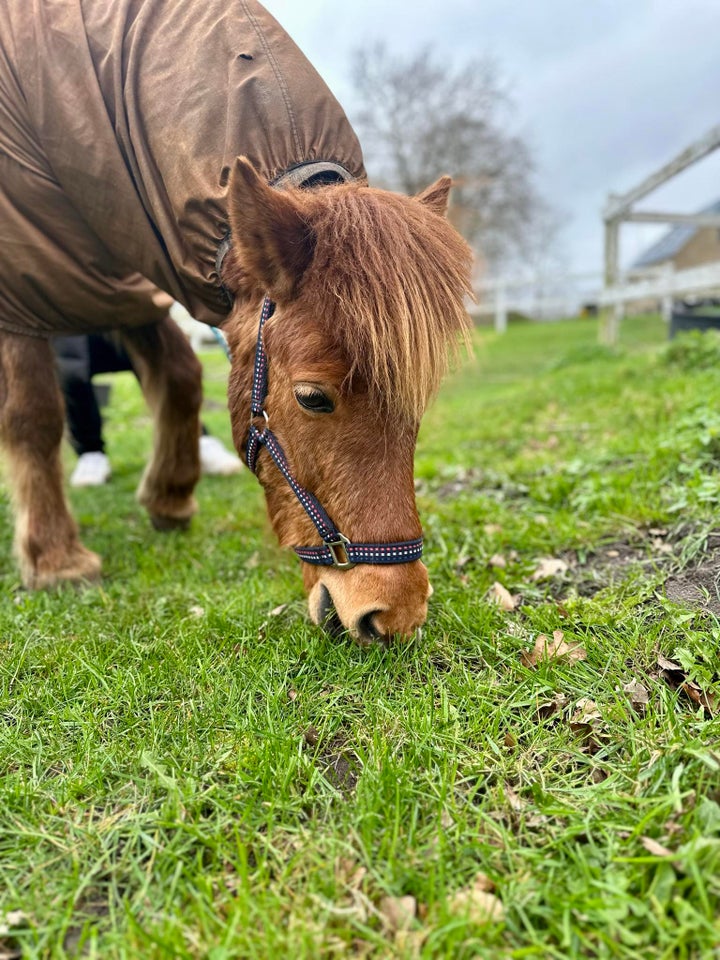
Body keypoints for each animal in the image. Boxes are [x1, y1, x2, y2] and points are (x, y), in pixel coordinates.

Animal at [0, 3, 472, 644]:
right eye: (312, 397)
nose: (393, 615)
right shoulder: (23, 284)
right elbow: (33, 416)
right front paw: (54, 560)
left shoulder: (128, 275)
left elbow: (180, 376)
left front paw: (170, 498)